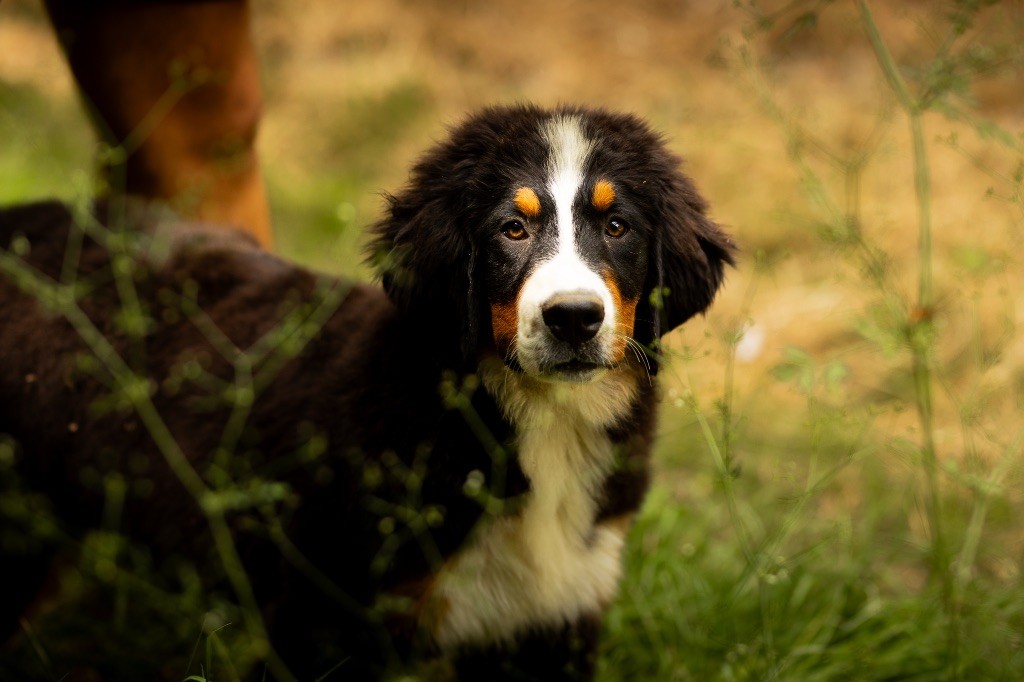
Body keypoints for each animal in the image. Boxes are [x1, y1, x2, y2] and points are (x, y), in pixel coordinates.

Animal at [0, 103, 737, 675]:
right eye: (512, 228)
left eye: (617, 227)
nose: (574, 318)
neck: (537, 422)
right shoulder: (324, 617)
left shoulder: (554, 617)